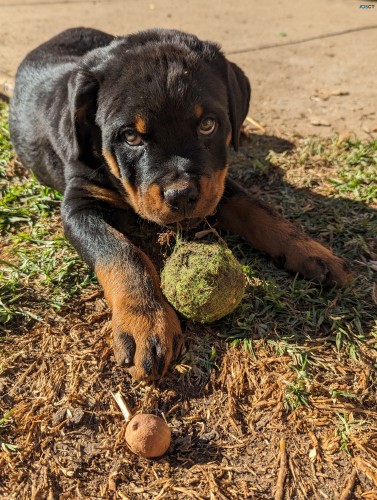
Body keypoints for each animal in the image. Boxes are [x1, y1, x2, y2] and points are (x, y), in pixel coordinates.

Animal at [8, 27, 350, 378]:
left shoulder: (218, 182)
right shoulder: (79, 205)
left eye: (208, 125)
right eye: (130, 137)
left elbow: (258, 210)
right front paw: (146, 320)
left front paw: (311, 251)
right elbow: (121, 252)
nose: (182, 194)